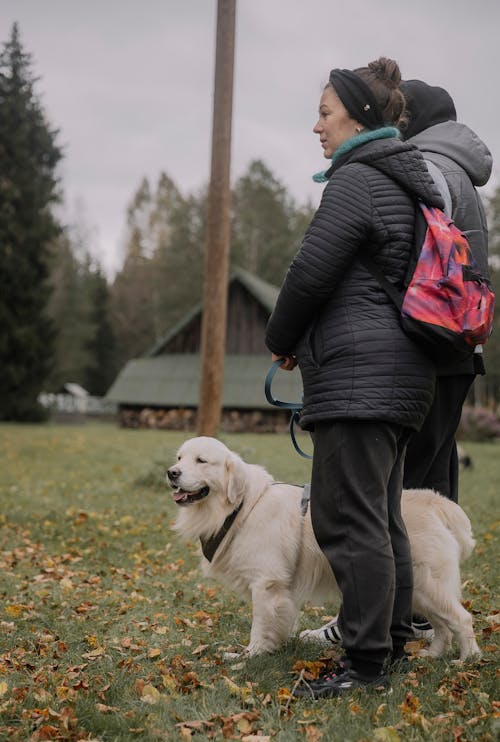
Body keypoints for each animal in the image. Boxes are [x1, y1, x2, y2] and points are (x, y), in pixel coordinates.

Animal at [169, 436, 480, 664]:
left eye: (201, 460)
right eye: (179, 457)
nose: (171, 473)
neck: (242, 506)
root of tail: (435, 501)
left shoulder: (266, 584)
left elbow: (260, 624)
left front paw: (250, 655)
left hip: (429, 585)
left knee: (462, 619)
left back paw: (468, 661)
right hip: (417, 591)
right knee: (442, 626)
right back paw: (433, 654)